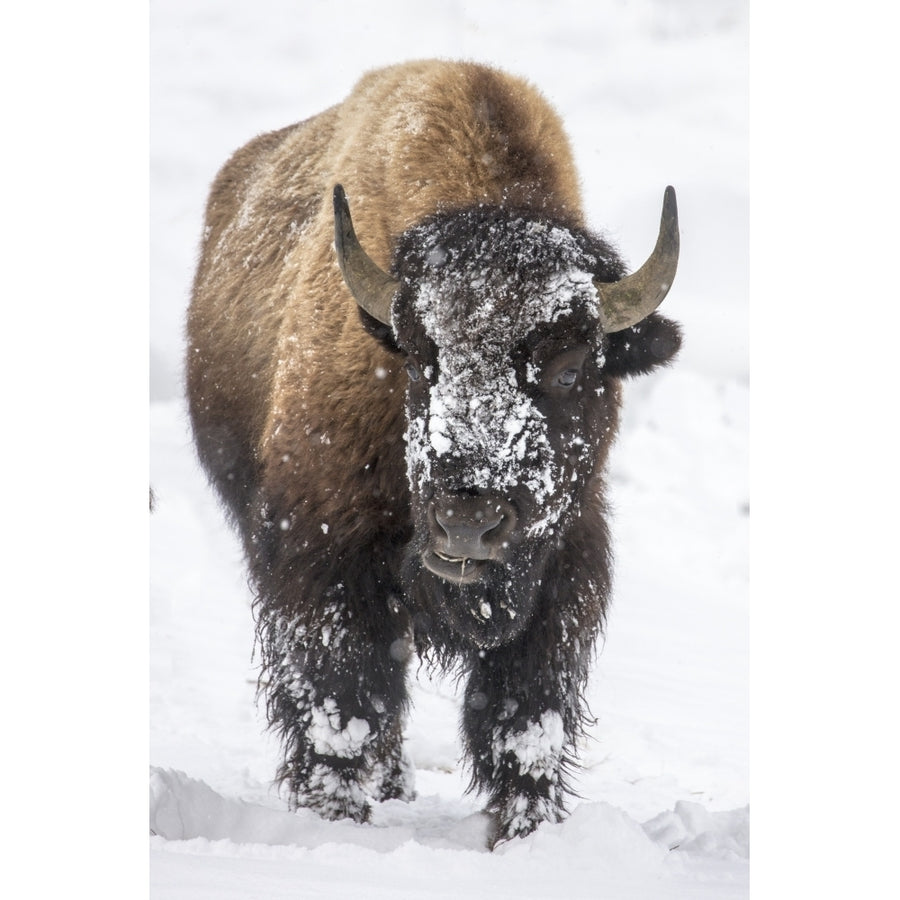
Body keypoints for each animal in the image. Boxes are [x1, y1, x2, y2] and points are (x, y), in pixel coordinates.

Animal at [188, 61, 684, 844]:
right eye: (422, 358)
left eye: (572, 366)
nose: (467, 523)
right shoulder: (321, 561)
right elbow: (345, 706)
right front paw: (339, 817)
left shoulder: (562, 573)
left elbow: (524, 722)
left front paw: (525, 832)